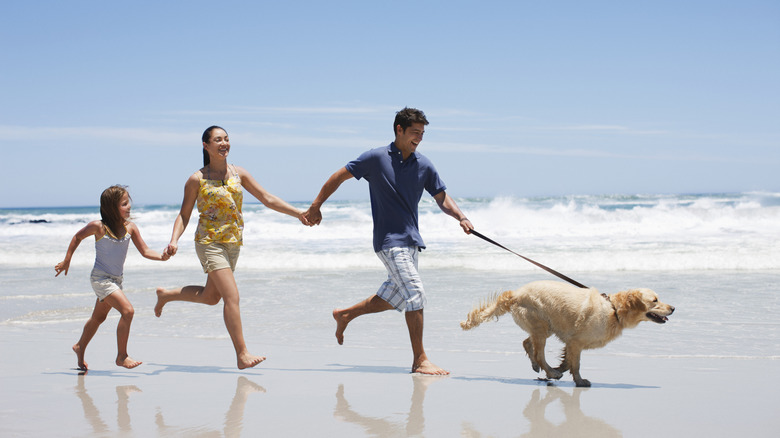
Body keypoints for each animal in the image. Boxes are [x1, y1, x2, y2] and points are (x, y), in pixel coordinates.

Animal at [460, 280, 672, 386]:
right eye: (655, 300)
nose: (673, 308)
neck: (614, 309)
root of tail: (515, 293)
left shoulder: (570, 342)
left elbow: (568, 360)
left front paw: (562, 368)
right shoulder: (575, 341)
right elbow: (576, 364)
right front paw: (579, 380)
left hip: (545, 326)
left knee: (527, 343)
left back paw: (539, 367)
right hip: (541, 324)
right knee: (538, 352)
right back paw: (550, 372)